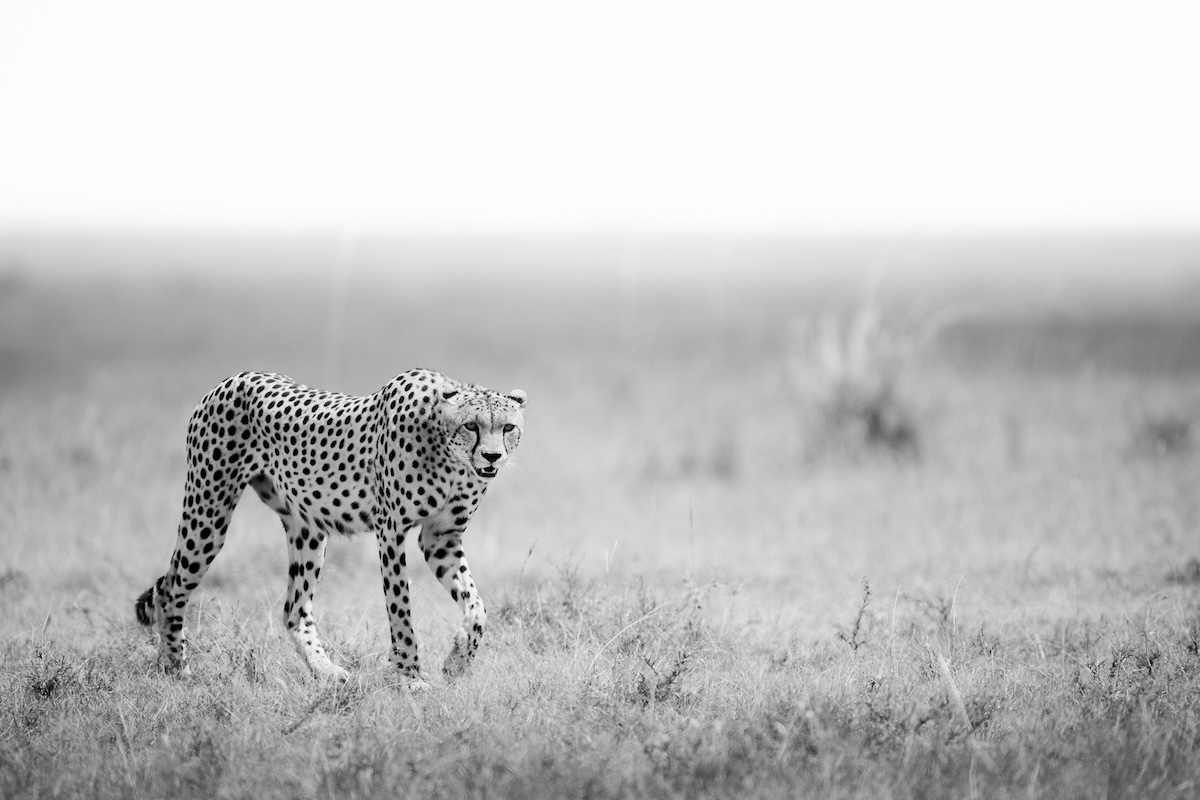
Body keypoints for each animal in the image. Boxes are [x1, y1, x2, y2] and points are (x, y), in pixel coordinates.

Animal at [135, 368, 526, 689]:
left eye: (508, 427)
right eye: (471, 426)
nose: (493, 457)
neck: (448, 453)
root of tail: (232, 378)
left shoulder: (440, 538)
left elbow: (478, 607)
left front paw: (457, 661)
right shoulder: (391, 532)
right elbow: (401, 609)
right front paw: (410, 676)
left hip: (307, 528)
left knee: (294, 609)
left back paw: (326, 672)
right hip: (208, 514)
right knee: (171, 588)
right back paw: (175, 669)